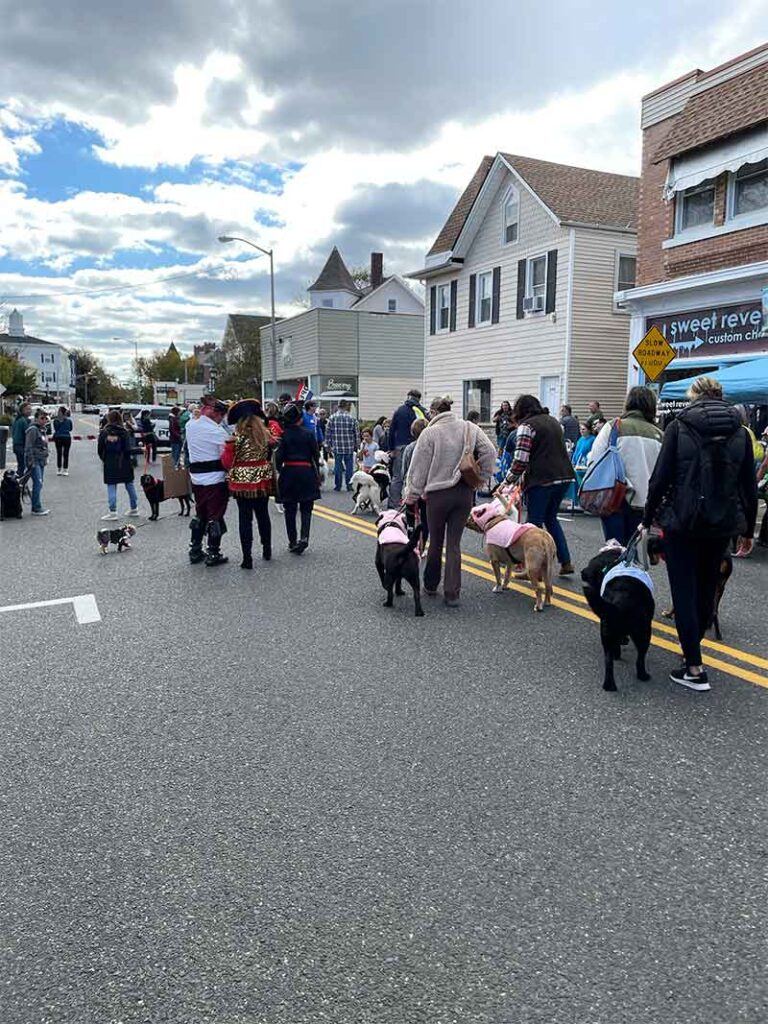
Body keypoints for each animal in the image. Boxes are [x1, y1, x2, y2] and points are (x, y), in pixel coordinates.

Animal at [581, 540, 655, 692]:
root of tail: (621, 603)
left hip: (607, 633)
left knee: (609, 661)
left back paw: (609, 684)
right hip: (644, 632)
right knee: (640, 659)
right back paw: (643, 676)